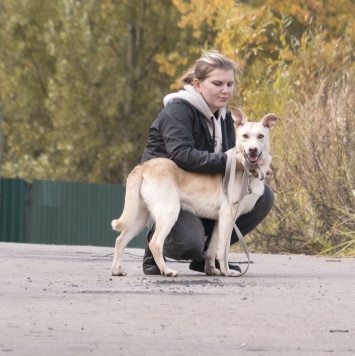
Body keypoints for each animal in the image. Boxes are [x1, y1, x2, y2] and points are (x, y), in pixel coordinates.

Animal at [111, 108, 278, 278]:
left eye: (261, 136)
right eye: (245, 136)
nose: (253, 150)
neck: (247, 172)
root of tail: (144, 166)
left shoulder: (220, 220)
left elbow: (212, 249)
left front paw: (211, 270)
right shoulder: (228, 216)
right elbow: (223, 251)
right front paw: (227, 271)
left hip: (140, 216)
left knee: (120, 240)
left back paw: (117, 270)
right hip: (169, 212)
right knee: (155, 243)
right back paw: (166, 271)